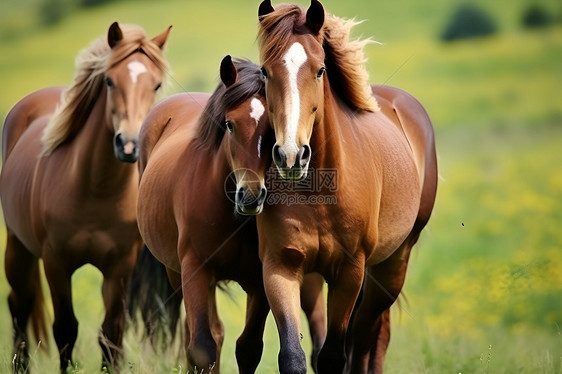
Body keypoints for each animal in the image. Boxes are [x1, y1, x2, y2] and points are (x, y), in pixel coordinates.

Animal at [0, 22, 171, 372]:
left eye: (156, 84)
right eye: (109, 80)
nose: (129, 144)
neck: (95, 190)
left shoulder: (120, 266)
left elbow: (111, 333)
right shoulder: (56, 263)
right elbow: (66, 329)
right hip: (17, 246)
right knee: (19, 304)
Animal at [256, 1, 436, 372]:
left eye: (320, 70)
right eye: (265, 71)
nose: (291, 156)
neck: (319, 193)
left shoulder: (349, 273)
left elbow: (335, 356)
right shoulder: (281, 267)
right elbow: (293, 355)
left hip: (392, 265)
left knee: (369, 339)